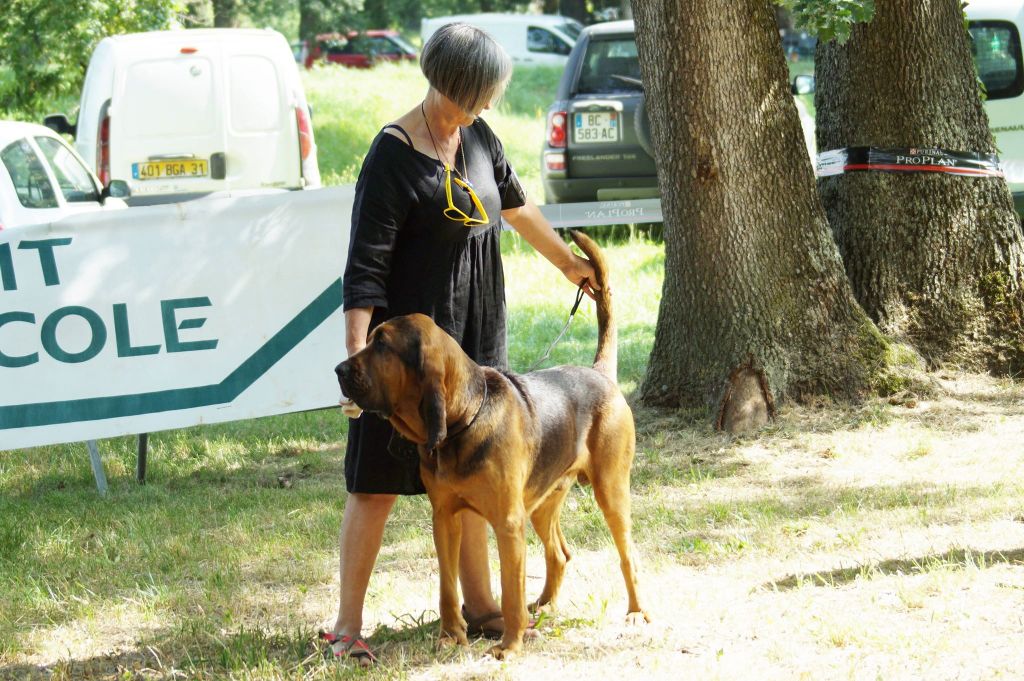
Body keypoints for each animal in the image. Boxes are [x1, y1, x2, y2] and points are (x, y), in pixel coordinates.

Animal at [339, 231, 651, 655]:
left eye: (383, 345)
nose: (338, 369)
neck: (463, 422)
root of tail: (599, 372)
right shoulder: (445, 518)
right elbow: (447, 586)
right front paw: (450, 636)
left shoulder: (507, 523)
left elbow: (509, 587)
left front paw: (510, 645)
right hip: (542, 502)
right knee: (559, 553)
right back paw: (546, 608)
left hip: (610, 491)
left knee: (627, 554)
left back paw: (635, 613)